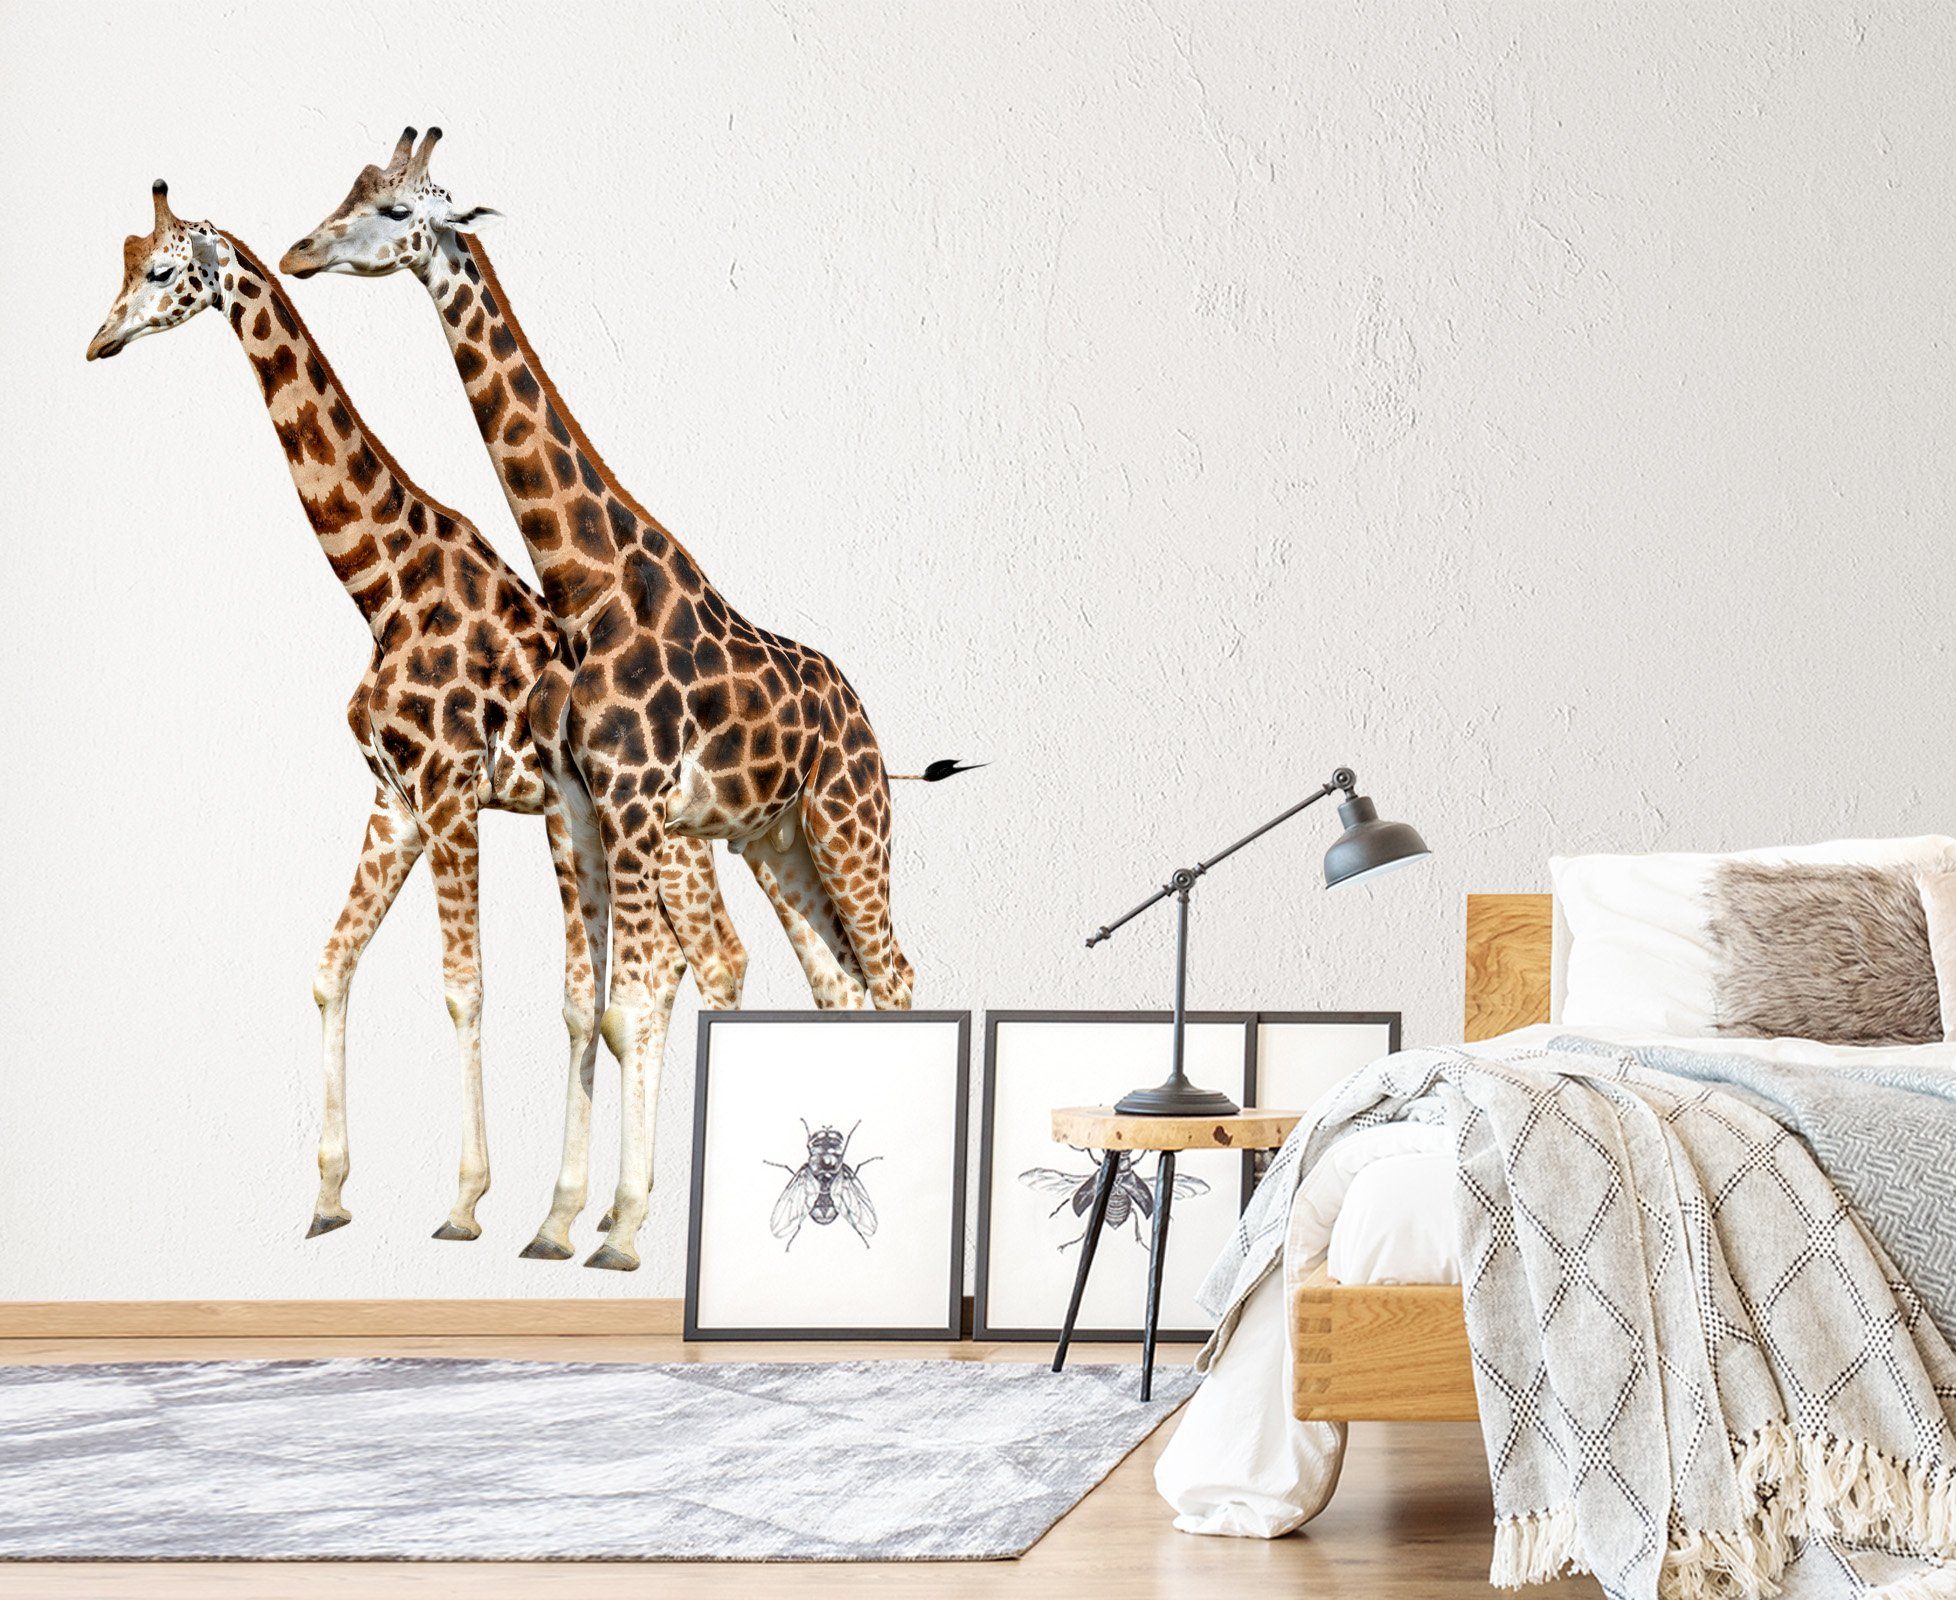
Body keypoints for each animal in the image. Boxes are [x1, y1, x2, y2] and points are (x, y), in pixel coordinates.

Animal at [86, 177, 747, 1252]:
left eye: (162, 271)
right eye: (125, 264)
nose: (99, 341)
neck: (380, 584)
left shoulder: (447, 795)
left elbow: (463, 989)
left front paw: (466, 1202)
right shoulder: (392, 800)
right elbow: (329, 965)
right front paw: (326, 1195)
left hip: (641, 838)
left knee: (697, 968)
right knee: (671, 975)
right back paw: (607, 1211)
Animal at [285, 128, 961, 1271]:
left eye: (397, 211)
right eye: (351, 190)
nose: (299, 251)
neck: (591, 584)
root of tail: (871, 725)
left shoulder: (621, 802)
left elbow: (628, 1000)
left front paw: (617, 1226)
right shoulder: (587, 803)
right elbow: (599, 1004)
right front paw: (583, 1218)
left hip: (844, 830)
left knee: (895, 975)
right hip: (774, 843)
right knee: (835, 985)